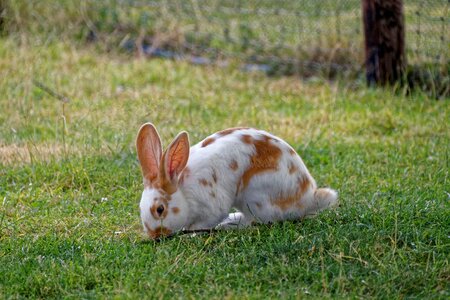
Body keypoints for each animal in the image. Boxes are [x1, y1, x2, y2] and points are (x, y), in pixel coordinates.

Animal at [137, 122, 338, 239]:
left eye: (160, 209)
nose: (155, 235)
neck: (184, 190)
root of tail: (308, 199)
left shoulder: (212, 207)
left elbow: (204, 222)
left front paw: (191, 233)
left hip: (254, 196)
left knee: (256, 222)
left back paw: (229, 224)